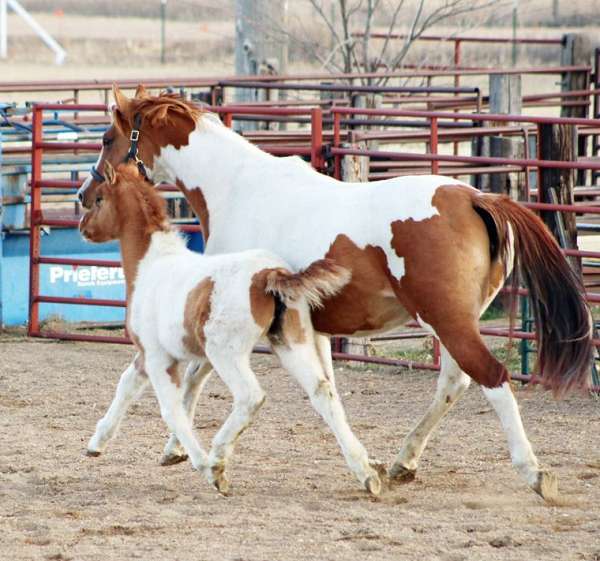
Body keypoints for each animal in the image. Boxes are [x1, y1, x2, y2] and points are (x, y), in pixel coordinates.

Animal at [78, 162, 384, 494]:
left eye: (99, 199)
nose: (83, 228)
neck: (153, 264)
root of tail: (269, 276)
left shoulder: (160, 359)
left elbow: (172, 411)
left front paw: (204, 466)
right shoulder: (147, 355)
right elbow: (127, 385)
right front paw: (96, 443)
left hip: (226, 353)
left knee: (251, 396)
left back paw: (218, 459)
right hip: (291, 342)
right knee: (322, 391)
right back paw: (367, 473)